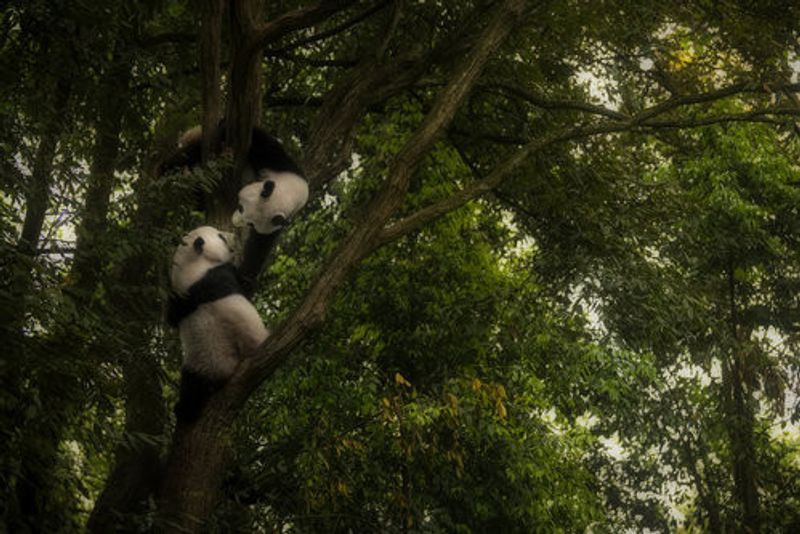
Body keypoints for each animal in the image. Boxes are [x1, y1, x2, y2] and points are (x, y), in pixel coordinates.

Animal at [167, 225, 269, 422]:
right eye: (221, 236)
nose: (234, 236)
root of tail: (220, 374)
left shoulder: (178, 298)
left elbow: (171, 318)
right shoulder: (219, 274)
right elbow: (242, 284)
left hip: (195, 364)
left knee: (190, 386)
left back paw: (183, 410)